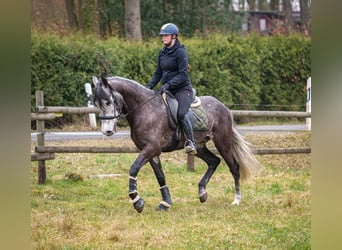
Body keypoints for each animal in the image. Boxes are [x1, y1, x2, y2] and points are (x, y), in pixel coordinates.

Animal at [92, 75, 260, 212]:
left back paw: (236, 200)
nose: (107, 131)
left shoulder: (151, 148)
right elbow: (160, 176)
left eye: (108, 102)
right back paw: (202, 193)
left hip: (223, 143)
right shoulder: (151, 151)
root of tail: (224, 107)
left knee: (234, 167)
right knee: (214, 161)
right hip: (199, 147)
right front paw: (166, 203)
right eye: (97, 104)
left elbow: (133, 168)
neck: (144, 109)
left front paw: (136, 201)